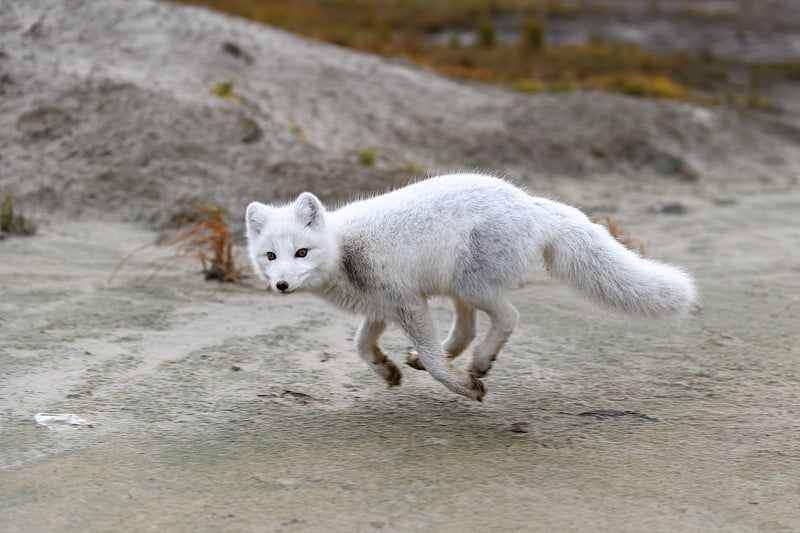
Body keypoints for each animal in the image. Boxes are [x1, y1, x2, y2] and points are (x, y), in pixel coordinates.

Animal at [245, 172, 700, 402]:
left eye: (301, 252)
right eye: (270, 257)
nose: (281, 284)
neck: (343, 251)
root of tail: (531, 203)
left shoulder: (405, 304)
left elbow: (431, 361)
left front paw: (463, 387)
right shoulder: (384, 306)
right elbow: (361, 346)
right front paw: (388, 370)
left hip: (472, 286)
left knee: (507, 318)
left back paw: (478, 364)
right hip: (455, 288)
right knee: (466, 328)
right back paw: (437, 360)